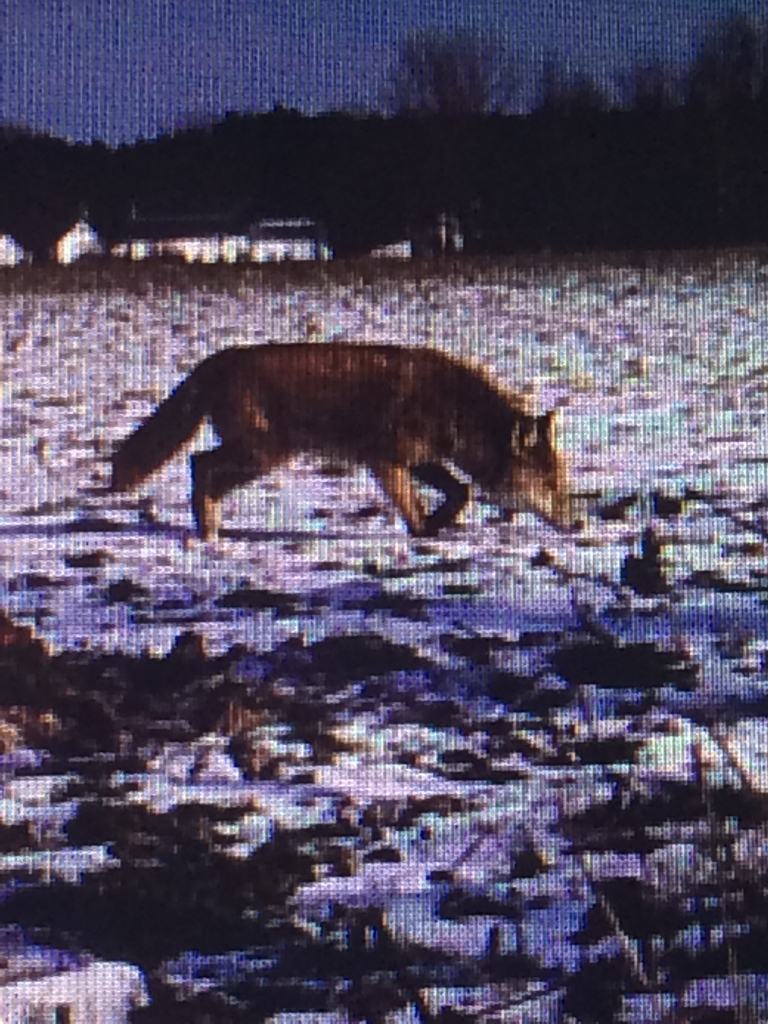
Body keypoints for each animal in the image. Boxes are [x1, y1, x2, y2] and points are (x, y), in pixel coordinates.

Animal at [110, 343, 571, 540]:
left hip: (260, 458)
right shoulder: (385, 461)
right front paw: (424, 533)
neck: (458, 412)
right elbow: (415, 506)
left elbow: (462, 491)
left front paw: (440, 525)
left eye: (562, 485)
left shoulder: (421, 461)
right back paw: (207, 531)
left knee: (199, 465)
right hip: (264, 456)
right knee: (199, 464)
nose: (578, 523)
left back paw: (208, 527)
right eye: (550, 485)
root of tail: (217, 358)